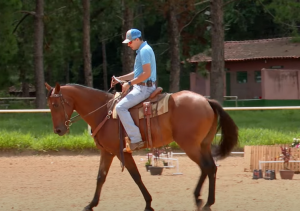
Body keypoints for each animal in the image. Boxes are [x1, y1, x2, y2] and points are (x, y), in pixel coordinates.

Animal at [44, 82, 238, 211]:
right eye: (49, 105)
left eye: (55, 104)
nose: (58, 130)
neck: (103, 112)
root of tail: (206, 101)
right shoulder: (107, 152)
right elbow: (101, 177)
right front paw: (91, 204)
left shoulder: (120, 152)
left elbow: (136, 176)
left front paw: (148, 204)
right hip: (203, 145)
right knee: (210, 168)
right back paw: (203, 200)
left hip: (190, 145)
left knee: (206, 167)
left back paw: (203, 201)